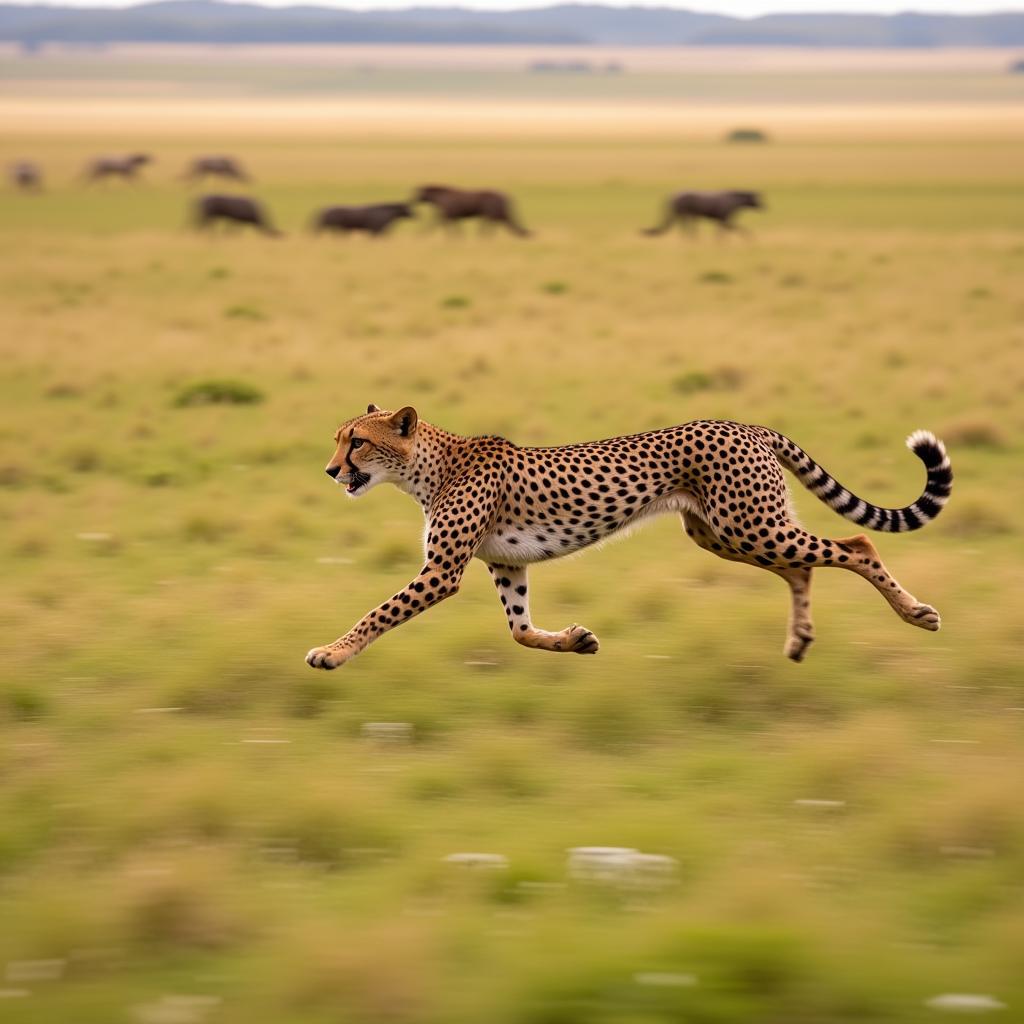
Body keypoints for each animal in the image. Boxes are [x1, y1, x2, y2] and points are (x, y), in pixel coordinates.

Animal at [303, 407, 950, 671]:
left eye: (357, 442)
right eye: (338, 440)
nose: (331, 470)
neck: (430, 465)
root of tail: (747, 424)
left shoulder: (442, 571)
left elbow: (378, 613)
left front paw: (332, 652)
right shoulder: (506, 565)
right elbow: (519, 630)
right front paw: (576, 641)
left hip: (751, 526)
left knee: (856, 546)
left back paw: (915, 613)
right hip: (726, 533)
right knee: (803, 565)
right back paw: (800, 639)